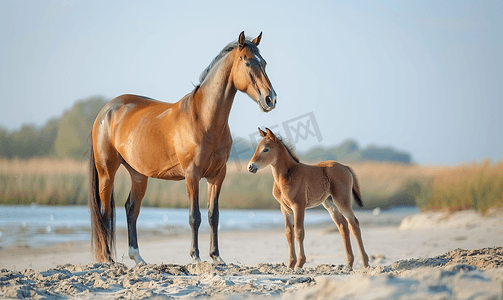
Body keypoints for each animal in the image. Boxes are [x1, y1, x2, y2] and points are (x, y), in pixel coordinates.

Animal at [89, 31, 278, 264]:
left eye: (264, 63)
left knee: (131, 209)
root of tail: (106, 110)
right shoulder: (192, 174)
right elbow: (194, 216)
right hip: (107, 172)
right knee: (105, 212)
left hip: (139, 175)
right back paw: (108, 258)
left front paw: (216, 257)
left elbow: (213, 215)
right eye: (248, 62)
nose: (270, 99)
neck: (204, 119)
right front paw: (195, 256)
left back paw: (138, 258)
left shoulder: (217, 175)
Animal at [248, 128, 370, 270]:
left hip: (342, 200)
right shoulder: (285, 208)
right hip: (330, 203)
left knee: (354, 224)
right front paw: (290, 264)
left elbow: (299, 232)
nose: (250, 166)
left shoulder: (299, 205)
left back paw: (365, 262)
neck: (287, 176)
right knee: (343, 226)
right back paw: (349, 264)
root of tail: (345, 167)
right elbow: (289, 233)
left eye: (266, 149)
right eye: (257, 148)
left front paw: (300, 263)